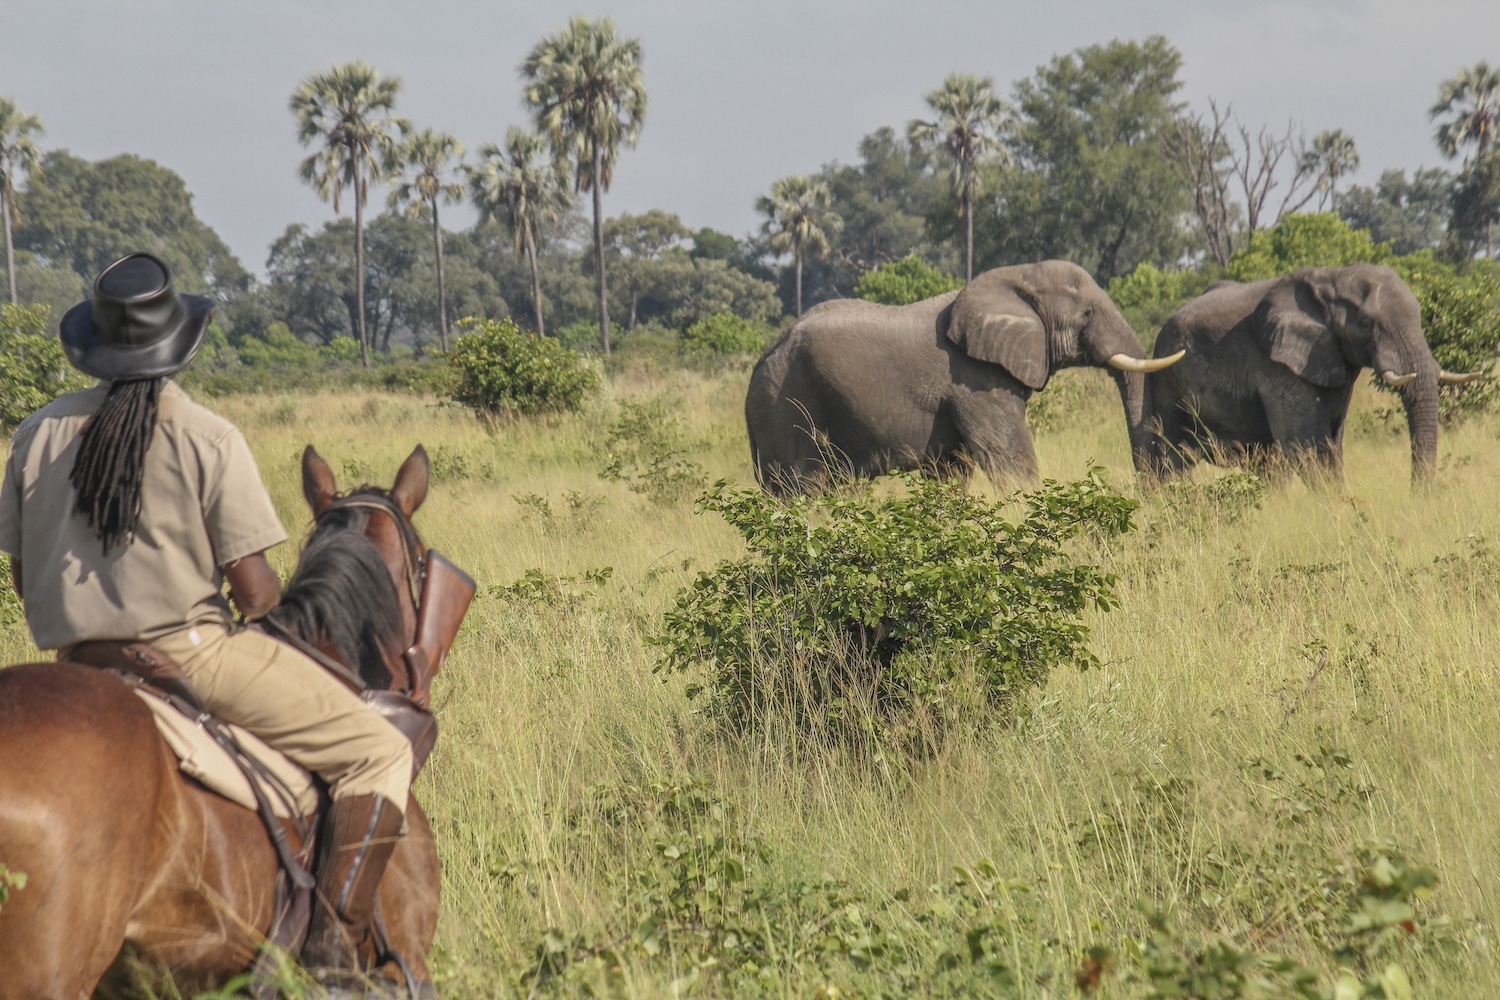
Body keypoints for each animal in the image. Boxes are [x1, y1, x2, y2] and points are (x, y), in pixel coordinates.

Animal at [741, 257, 1182, 491]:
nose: (1150, 489)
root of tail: (761, 362)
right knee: (803, 489)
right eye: (1087, 314)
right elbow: (1006, 454)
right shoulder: (975, 379)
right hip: (786, 407)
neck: (1016, 277)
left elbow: (952, 469)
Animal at [1146, 262, 1476, 485]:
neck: (1332, 278)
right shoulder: (1279, 366)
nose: (1418, 496)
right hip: (1167, 383)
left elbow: (1333, 443)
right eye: (1367, 324)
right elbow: (1308, 445)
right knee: (1172, 459)